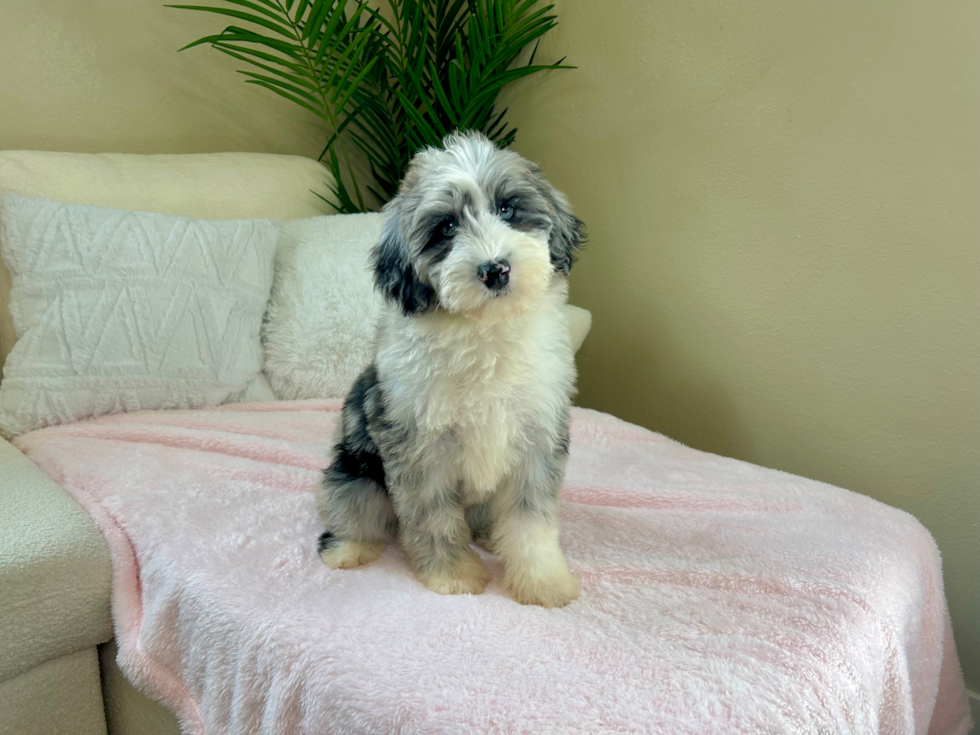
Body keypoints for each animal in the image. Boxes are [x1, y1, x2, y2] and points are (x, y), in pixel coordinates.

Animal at [318, 129, 584, 608]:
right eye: (446, 228)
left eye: (507, 209)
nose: (495, 269)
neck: (484, 331)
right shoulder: (419, 447)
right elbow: (433, 518)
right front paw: (452, 575)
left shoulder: (539, 436)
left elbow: (530, 519)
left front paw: (542, 580)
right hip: (356, 474)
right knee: (353, 510)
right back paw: (349, 548)